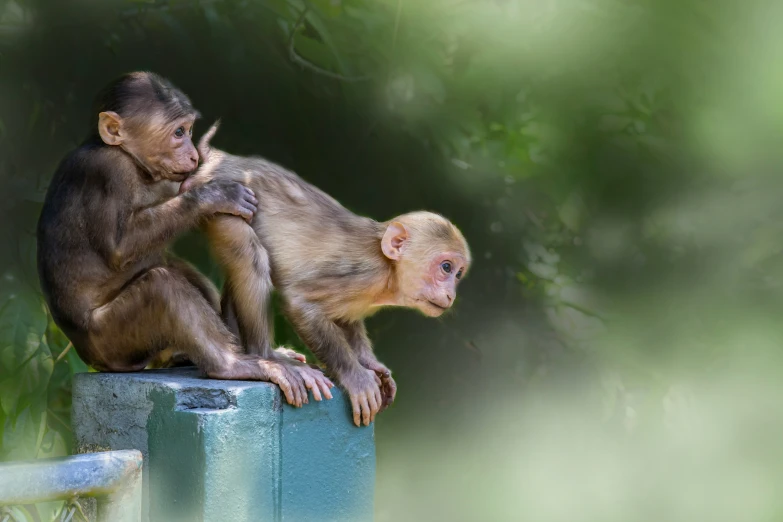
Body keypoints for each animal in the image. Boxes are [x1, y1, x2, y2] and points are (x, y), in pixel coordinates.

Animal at [36, 73, 332, 406]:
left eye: (189, 131)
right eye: (178, 132)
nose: (193, 154)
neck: (134, 163)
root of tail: (94, 361)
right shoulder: (108, 171)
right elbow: (119, 248)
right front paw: (215, 194)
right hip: (111, 342)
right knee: (163, 287)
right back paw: (232, 364)